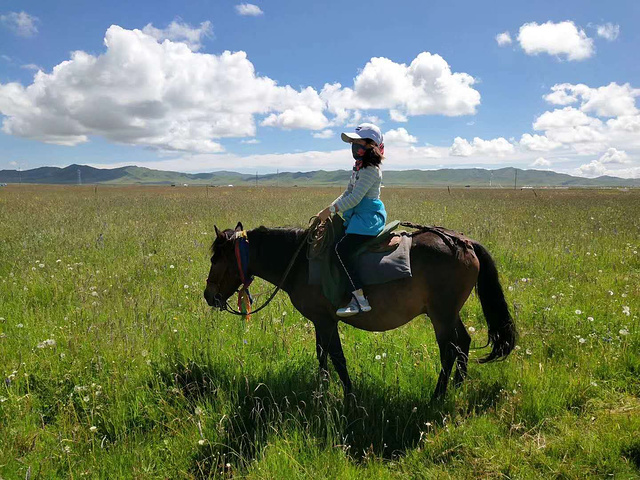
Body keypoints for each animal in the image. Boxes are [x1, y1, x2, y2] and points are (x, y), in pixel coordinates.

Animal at [205, 223, 516, 400]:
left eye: (216, 259)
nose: (209, 296)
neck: (300, 262)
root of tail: (463, 242)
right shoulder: (321, 321)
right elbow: (322, 356)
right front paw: (321, 390)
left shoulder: (326, 321)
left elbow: (337, 358)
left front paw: (349, 396)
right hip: (449, 313)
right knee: (463, 343)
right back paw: (458, 387)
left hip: (441, 315)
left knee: (450, 350)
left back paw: (437, 396)